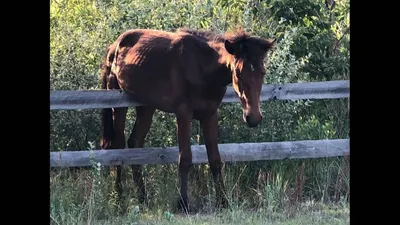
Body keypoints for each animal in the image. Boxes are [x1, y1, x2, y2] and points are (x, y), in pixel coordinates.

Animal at [100, 27, 276, 213]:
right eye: (238, 73)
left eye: (263, 72)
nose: (253, 117)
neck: (202, 67)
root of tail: (114, 47)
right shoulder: (184, 114)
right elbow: (185, 159)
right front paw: (183, 203)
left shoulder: (210, 115)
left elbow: (215, 159)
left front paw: (223, 201)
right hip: (118, 104)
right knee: (118, 147)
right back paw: (119, 197)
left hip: (147, 107)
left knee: (135, 143)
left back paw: (142, 197)